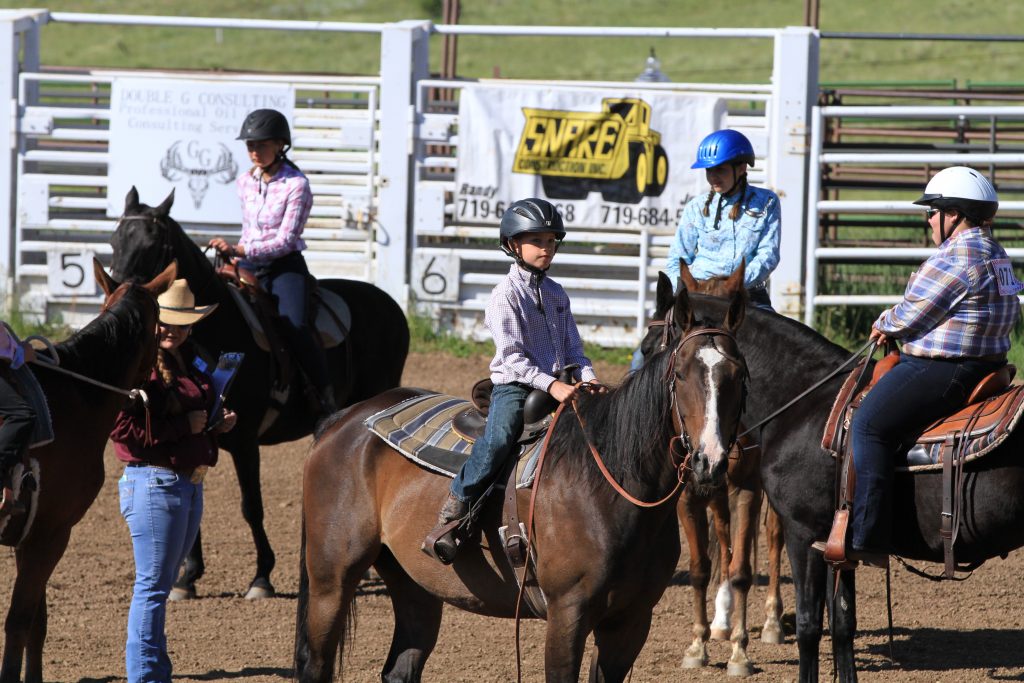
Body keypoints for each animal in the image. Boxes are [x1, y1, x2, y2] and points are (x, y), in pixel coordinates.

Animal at [0, 258, 174, 683]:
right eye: (161, 327)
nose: (162, 388)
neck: (77, 397)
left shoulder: (31, 536)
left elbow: (37, 622)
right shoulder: (52, 533)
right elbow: (20, 621)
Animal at [110, 187, 409, 598]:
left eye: (152, 242)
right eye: (115, 239)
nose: (118, 294)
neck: (219, 328)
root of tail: (390, 304)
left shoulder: (245, 440)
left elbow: (251, 505)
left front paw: (261, 577)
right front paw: (187, 577)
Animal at [296, 280, 753, 679]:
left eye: (739, 375)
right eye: (681, 375)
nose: (710, 461)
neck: (610, 488)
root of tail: (344, 420)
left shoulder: (631, 622)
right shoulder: (567, 614)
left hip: (414, 586)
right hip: (331, 579)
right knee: (317, 664)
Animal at [638, 264, 782, 679]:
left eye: (738, 374)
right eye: (679, 370)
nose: (710, 456)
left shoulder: (747, 489)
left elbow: (742, 570)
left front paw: (740, 654)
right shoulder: (689, 494)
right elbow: (701, 567)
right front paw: (698, 645)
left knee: (773, 536)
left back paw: (772, 622)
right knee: (722, 536)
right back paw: (720, 621)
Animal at [688, 294, 1024, 683]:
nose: (703, 459)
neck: (805, 405)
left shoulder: (804, 533)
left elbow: (809, 624)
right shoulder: (837, 545)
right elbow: (843, 622)